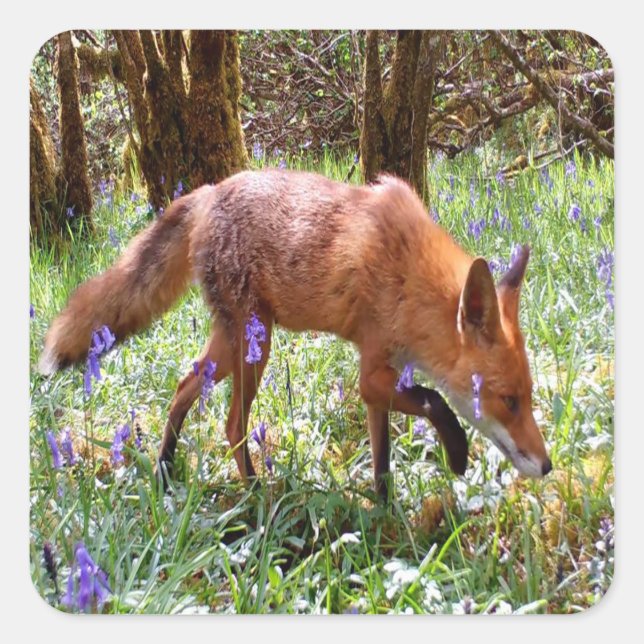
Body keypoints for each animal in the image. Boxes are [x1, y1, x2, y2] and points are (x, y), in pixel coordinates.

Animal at [38, 169, 551, 499]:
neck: (409, 273)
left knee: (185, 386)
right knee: (232, 424)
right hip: (254, 346)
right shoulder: (373, 371)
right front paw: (458, 454)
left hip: (233, 344)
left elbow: (383, 462)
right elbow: (435, 400)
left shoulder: (380, 380)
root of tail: (208, 191)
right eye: (509, 401)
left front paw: (385, 517)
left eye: (529, 396)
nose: (547, 466)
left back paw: (166, 472)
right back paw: (255, 495)